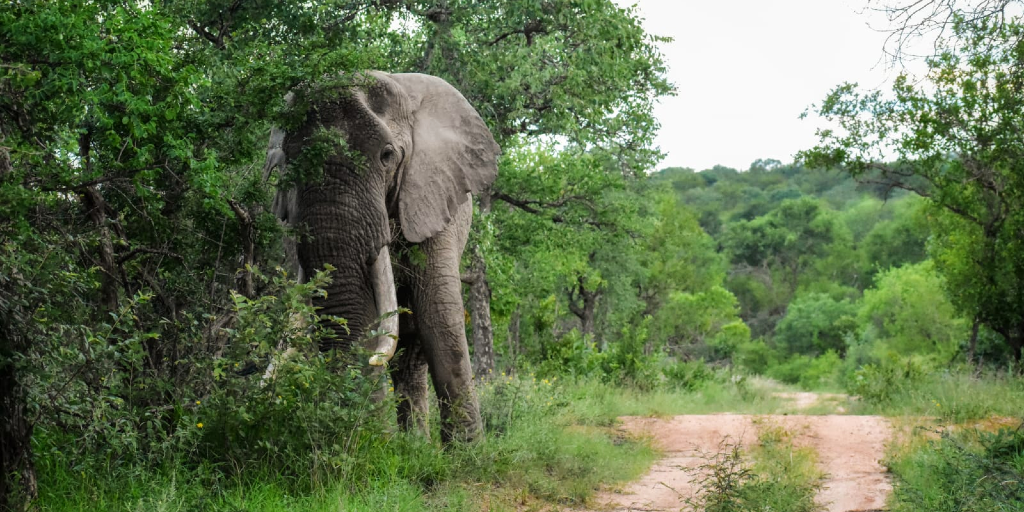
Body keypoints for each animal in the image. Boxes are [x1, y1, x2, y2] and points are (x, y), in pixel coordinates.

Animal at [264, 72, 499, 444]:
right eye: (289, 162)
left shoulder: (432, 198)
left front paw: (468, 452)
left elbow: (437, 314)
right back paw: (413, 445)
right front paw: (377, 444)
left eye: (387, 155)